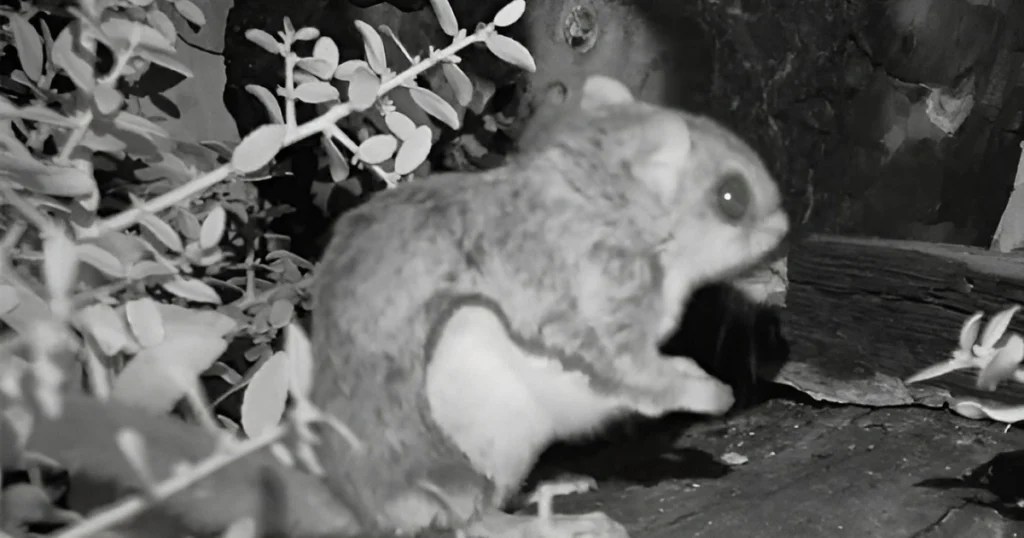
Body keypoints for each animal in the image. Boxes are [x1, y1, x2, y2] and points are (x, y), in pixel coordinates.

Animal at [13, 74, 789, 537]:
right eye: (731, 197)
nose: (784, 229)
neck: (596, 202)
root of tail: (357, 504)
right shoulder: (574, 290)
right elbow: (622, 365)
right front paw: (706, 390)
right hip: (472, 426)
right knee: (469, 525)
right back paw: (547, 524)